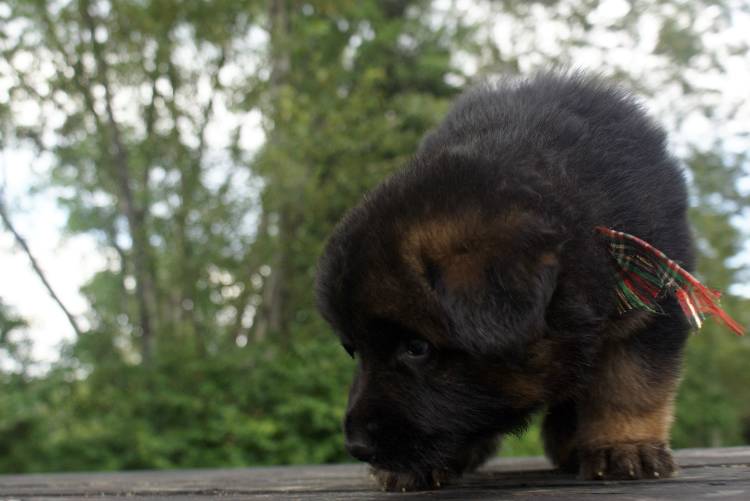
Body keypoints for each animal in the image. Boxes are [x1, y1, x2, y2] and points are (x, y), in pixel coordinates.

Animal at [312, 72, 692, 490]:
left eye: (417, 348)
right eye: (354, 350)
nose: (357, 446)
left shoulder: (650, 307)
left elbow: (628, 383)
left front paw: (624, 445)